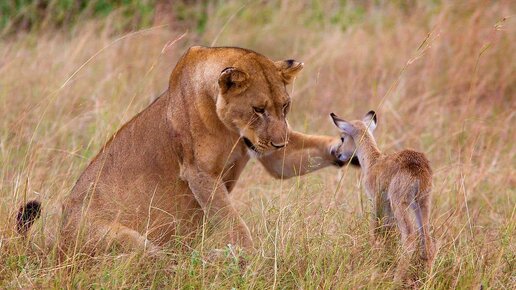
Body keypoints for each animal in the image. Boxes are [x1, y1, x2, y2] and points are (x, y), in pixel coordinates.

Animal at [330, 110, 436, 280]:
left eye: (342, 137)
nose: (337, 153)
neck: (373, 161)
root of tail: (419, 168)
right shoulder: (387, 205)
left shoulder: (377, 199)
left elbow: (376, 229)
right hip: (422, 203)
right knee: (428, 241)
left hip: (400, 203)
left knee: (410, 237)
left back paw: (396, 279)